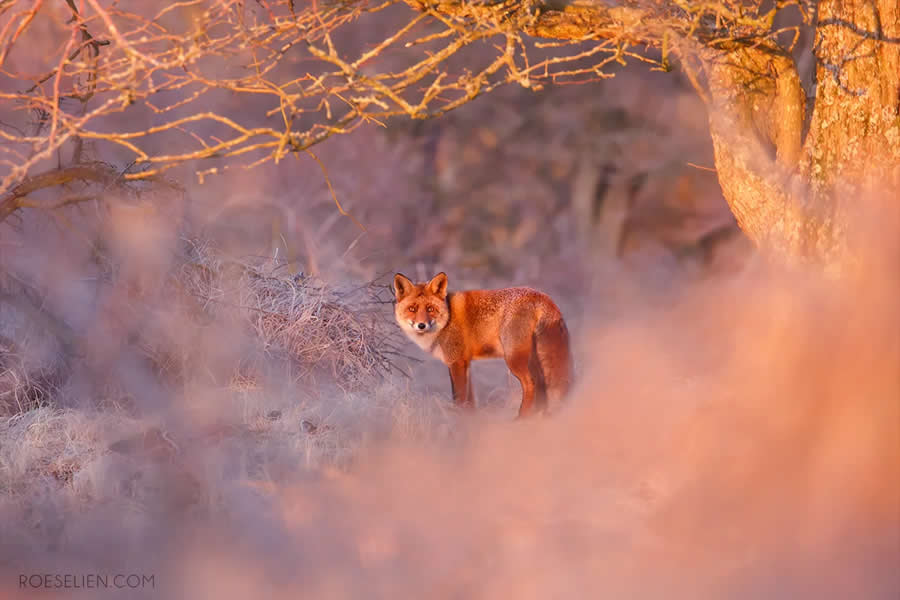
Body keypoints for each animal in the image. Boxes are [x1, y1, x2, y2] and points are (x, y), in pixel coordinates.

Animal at [393, 272, 572, 418]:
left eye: (430, 309)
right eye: (412, 309)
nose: (421, 325)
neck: (447, 319)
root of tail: (542, 296)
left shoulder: (456, 362)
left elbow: (458, 398)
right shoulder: (465, 364)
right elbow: (469, 400)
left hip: (514, 359)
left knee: (531, 384)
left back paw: (522, 417)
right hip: (532, 358)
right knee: (542, 384)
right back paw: (539, 415)